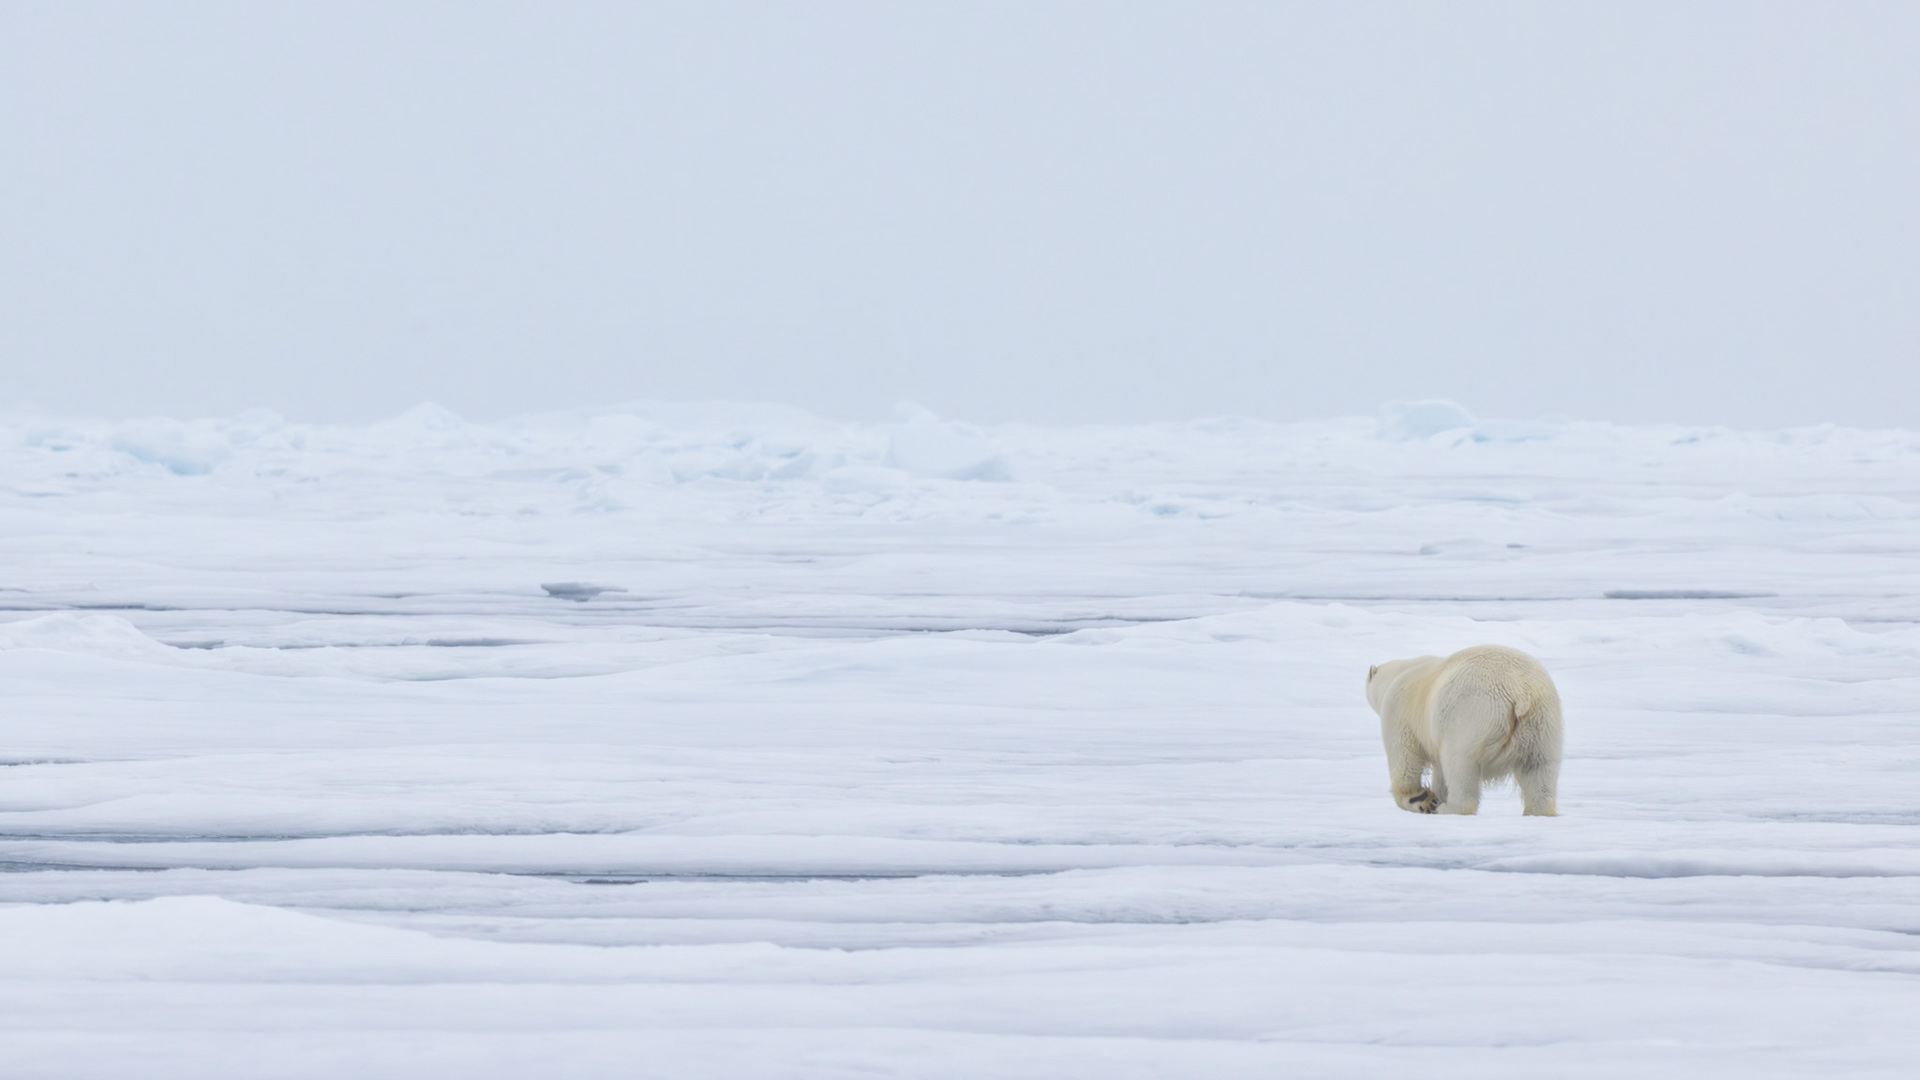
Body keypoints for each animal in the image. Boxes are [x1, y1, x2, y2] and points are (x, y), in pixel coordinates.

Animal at [1364, 644, 1562, 816]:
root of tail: (1520, 691)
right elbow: (1439, 772)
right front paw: (1436, 795)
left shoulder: (1398, 711)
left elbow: (1405, 759)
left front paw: (1425, 800)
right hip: (1541, 721)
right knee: (1539, 767)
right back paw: (1538, 811)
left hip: (1469, 716)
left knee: (1459, 763)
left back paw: (1449, 808)